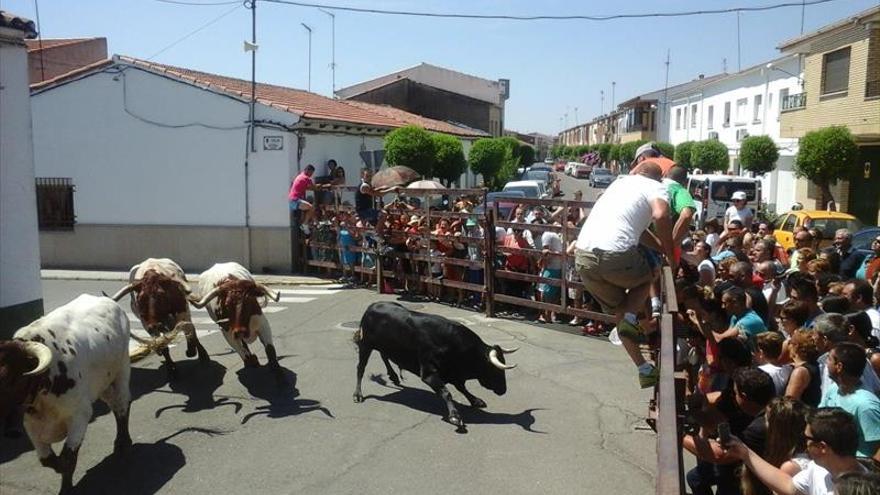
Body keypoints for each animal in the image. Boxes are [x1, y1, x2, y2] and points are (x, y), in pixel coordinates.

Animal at [350, 302, 516, 430]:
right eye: (495, 370)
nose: (503, 390)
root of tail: (371, 306)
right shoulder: (429, 373)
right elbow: (446, 392)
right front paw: (455, 417)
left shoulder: (454, 374)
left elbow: (462, 388)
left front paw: (475, 401)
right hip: (366, 345)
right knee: (360, 368)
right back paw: (358, 395)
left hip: (384, 345)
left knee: (384, 356)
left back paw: (394, 377)